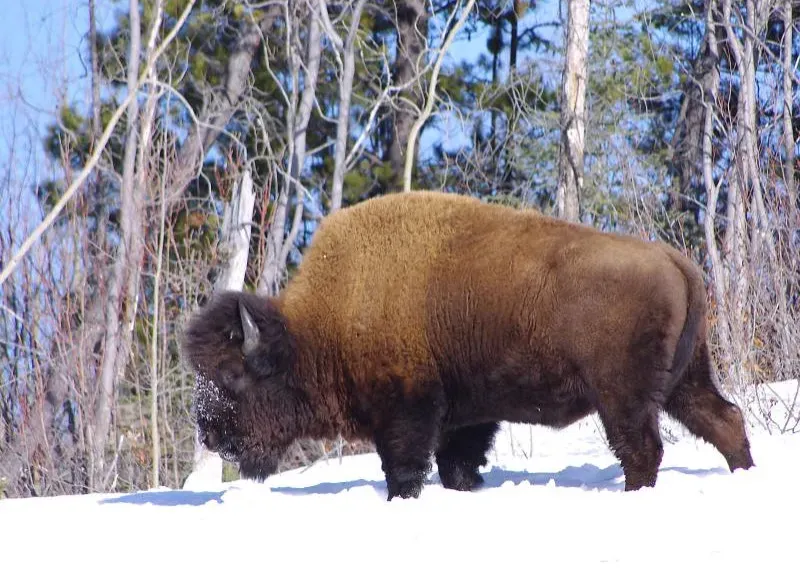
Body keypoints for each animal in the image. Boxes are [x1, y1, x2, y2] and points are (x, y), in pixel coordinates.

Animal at [181, 190, 754, 500]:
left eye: (231, 375)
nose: (208, 433)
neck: (323, 324)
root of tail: (674, 260)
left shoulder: (408, 410)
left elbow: (405, 467)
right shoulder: (466, 418)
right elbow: (457, 465)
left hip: (624, 397)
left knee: (643, 449)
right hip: (682, 381)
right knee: (724, 419)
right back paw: (745, 476)